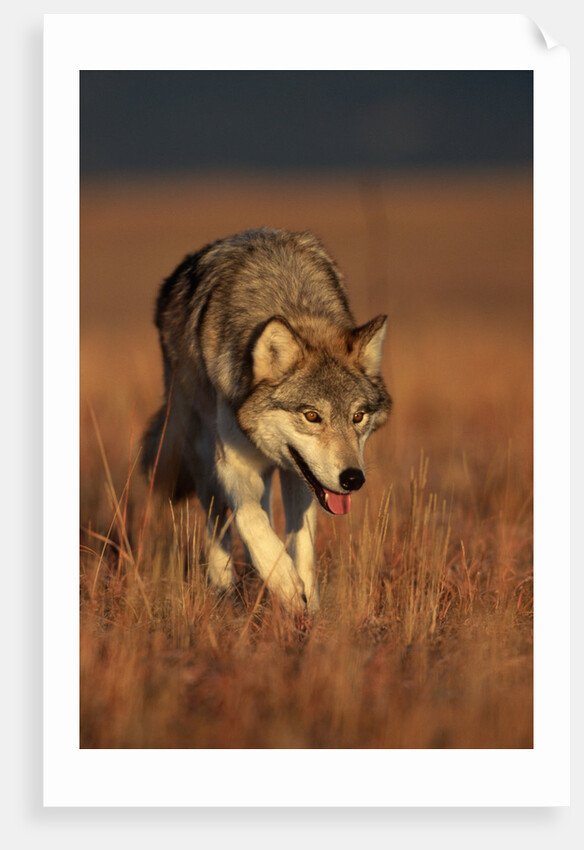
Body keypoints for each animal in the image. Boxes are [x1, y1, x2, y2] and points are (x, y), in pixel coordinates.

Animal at [142, 228, 392, 613]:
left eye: (358, 416)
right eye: (312, 416)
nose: (353, 479)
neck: (290, 301)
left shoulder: (301, 474)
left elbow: (302, 541)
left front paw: (308, 606)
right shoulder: (232, 462)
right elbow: (250, 520)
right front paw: (286, 585)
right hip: (200, 449)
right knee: (219, 517)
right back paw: (225, 589)